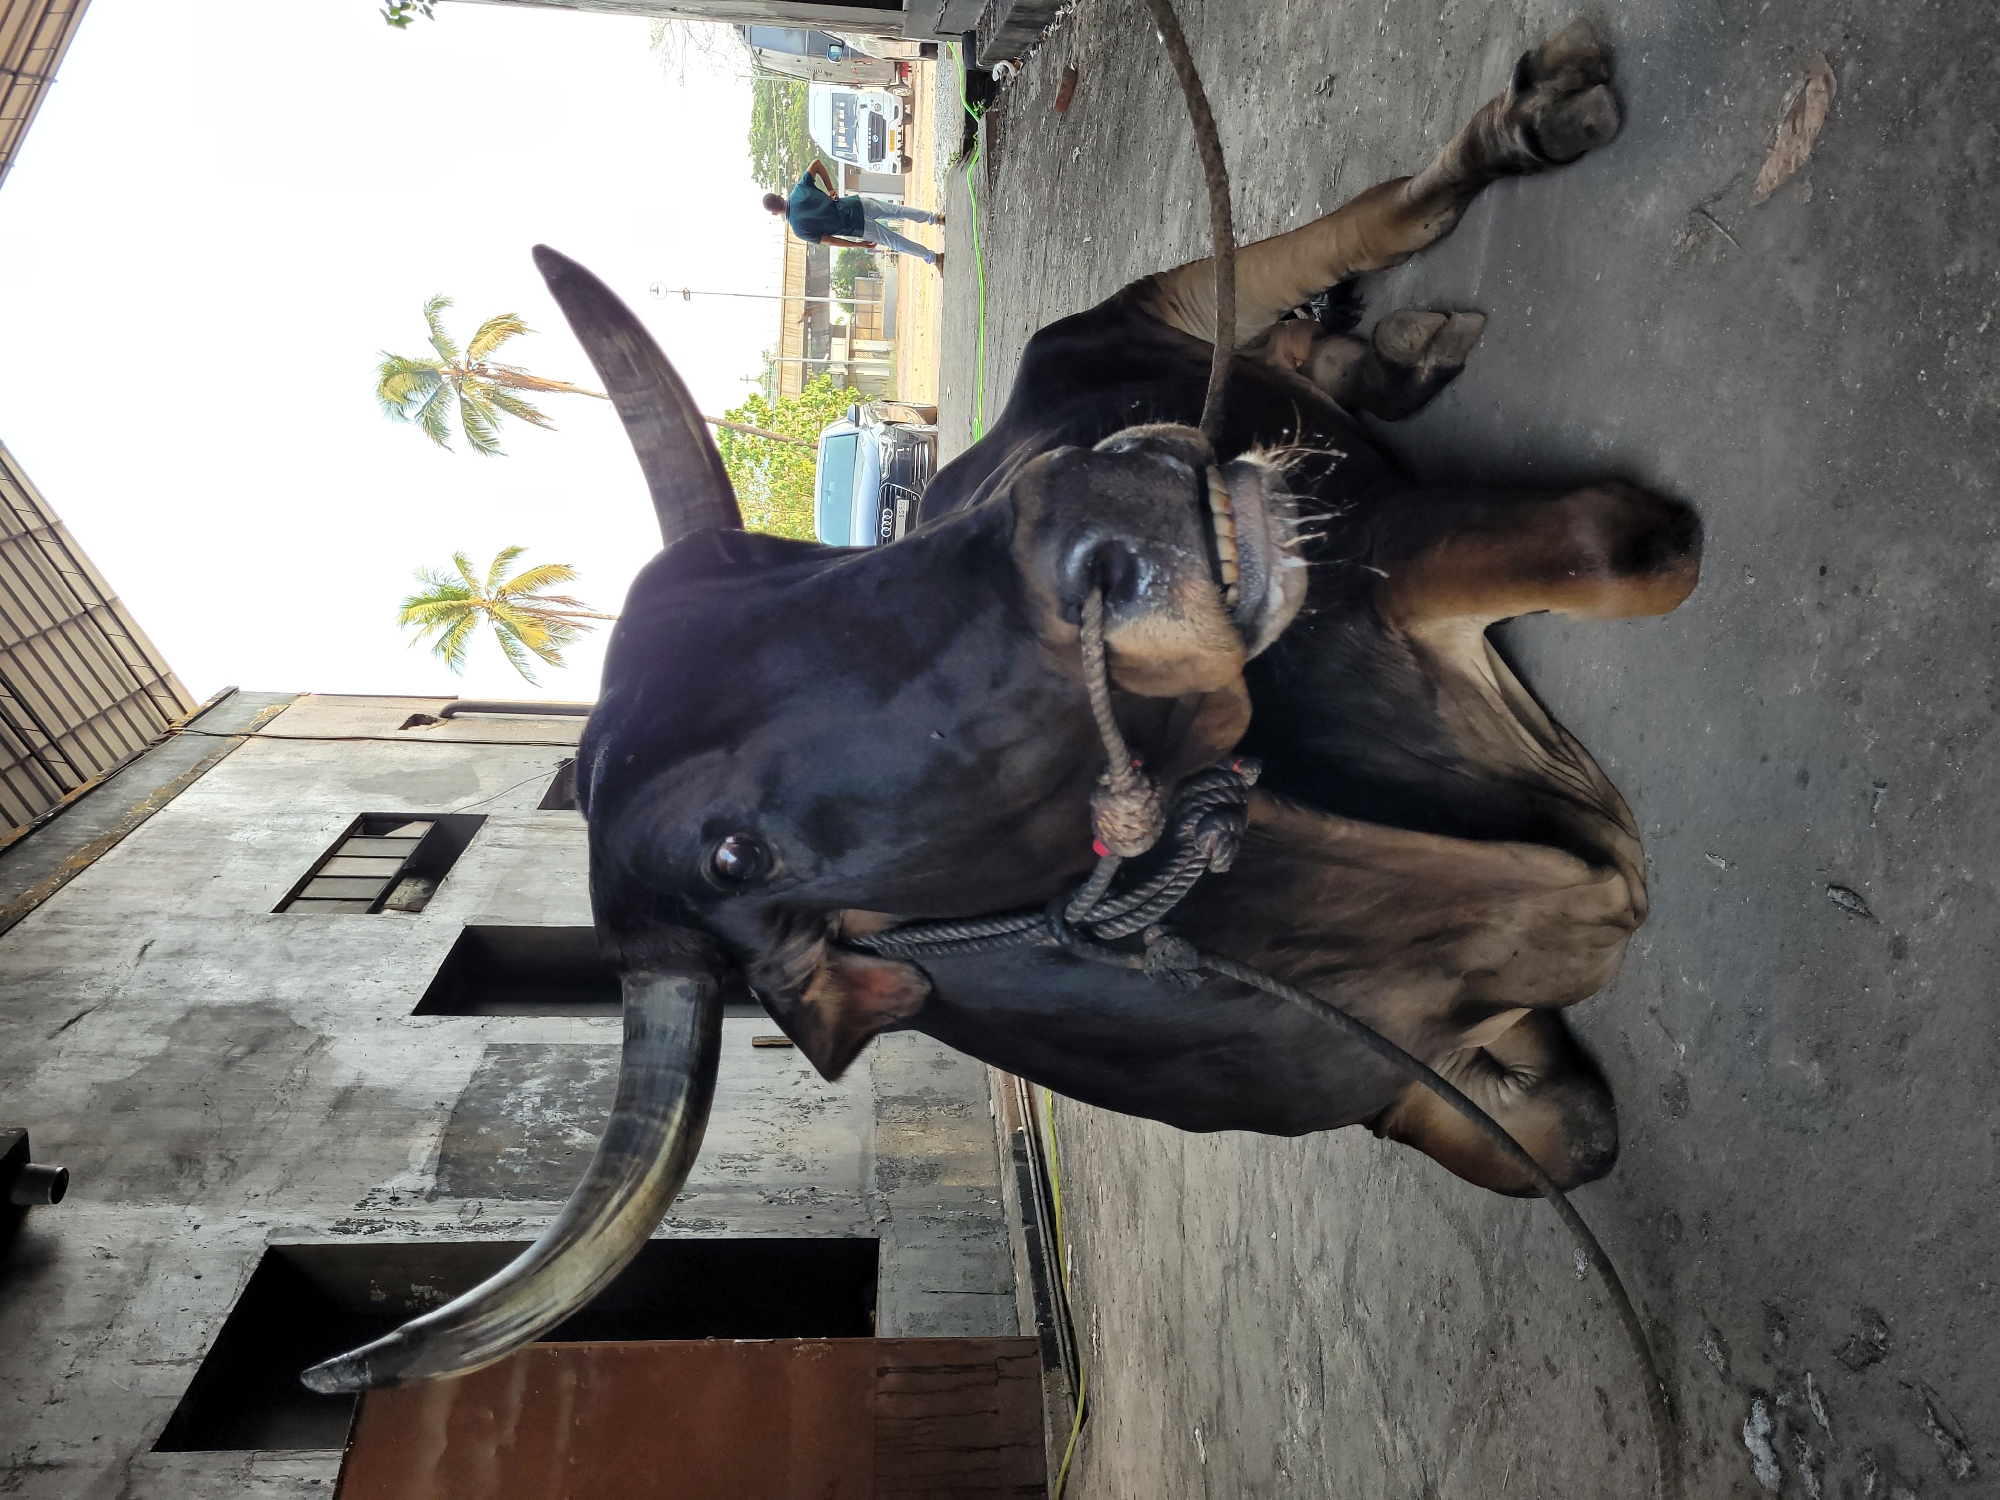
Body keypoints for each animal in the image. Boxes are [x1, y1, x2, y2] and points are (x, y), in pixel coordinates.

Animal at [306, 18, 1699, 1394]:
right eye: (734, 854)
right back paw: (1384, 352)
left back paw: (1523, 138)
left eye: (776, 563)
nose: (1107, 523)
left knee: (1372, 215)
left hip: (1136, 312)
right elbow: (1582, 1138)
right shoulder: (1422, 1084)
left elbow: (1629, 541)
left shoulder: (1367, 544)